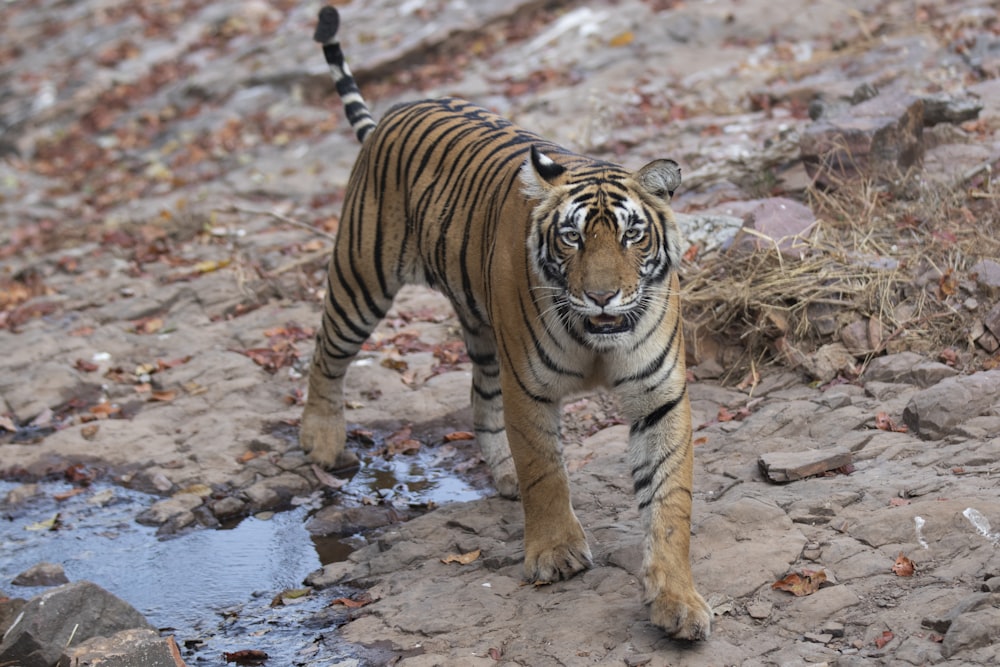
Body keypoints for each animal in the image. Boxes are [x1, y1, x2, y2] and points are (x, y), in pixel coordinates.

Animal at [298, 6, 712, 640]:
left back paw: (501, 472)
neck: (598, 341)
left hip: (481, 326)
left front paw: (677, 600)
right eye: (572, 238)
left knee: (479, 395)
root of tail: (394, 112)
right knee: (327, 352)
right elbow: (545, 469)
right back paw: (321, 440)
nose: (602, 296)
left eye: (631, 235)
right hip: (362, 276)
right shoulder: (531, 386)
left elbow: (670, 501)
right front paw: (556, 552)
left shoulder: (659, 396)